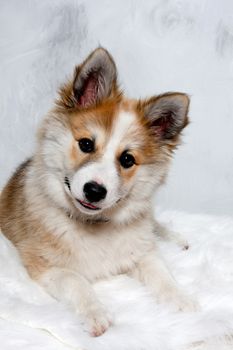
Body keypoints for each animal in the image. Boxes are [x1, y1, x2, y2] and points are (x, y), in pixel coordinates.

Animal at [0, 47, 195, 336]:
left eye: (127, 159)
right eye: (86, 144)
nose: (94, 191)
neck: (94, 224)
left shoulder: (141, 252)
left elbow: (161, 272)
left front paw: (181, 298)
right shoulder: (42, 264)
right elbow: (75, 280)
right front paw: (95, 312)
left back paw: (176, 238)